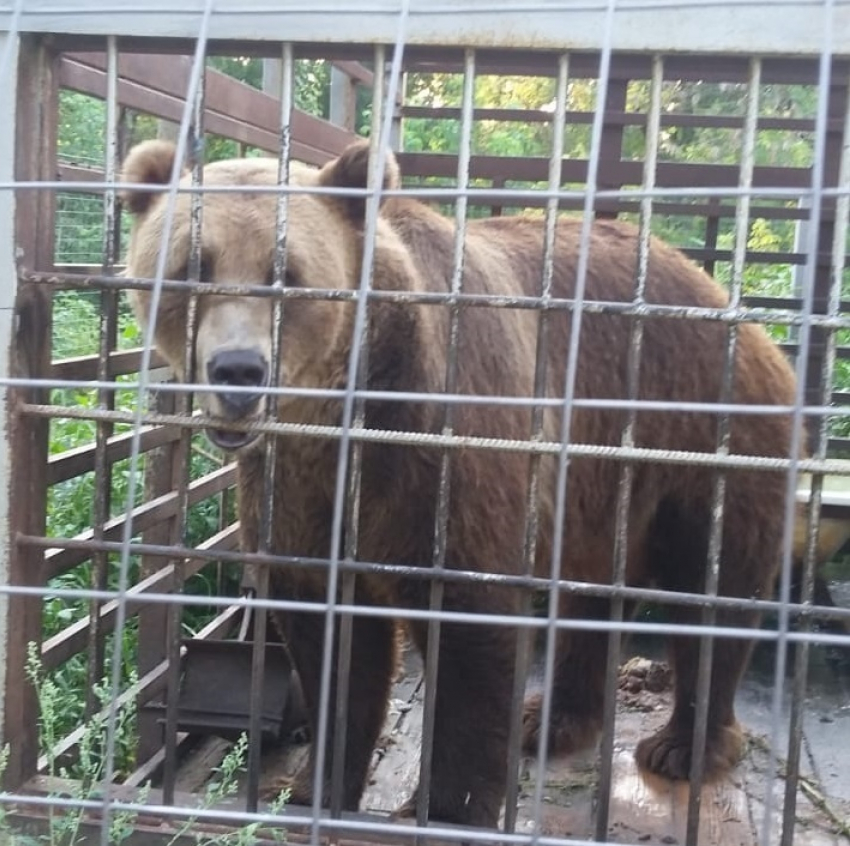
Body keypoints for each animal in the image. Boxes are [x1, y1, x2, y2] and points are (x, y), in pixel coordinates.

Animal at [122, 137, 800, 828]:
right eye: (190, 267)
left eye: (287, 273)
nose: (238, 370)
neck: (343, 413)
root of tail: (731, 303)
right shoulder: (298, 490)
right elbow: (334, 646)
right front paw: (314, 789)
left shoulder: (442, 451)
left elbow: (469, 633)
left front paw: (443, 808)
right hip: (598, 485)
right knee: (588, 593)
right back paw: (549, 718)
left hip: (701, 430)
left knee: (712, 585)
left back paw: (682, 745)